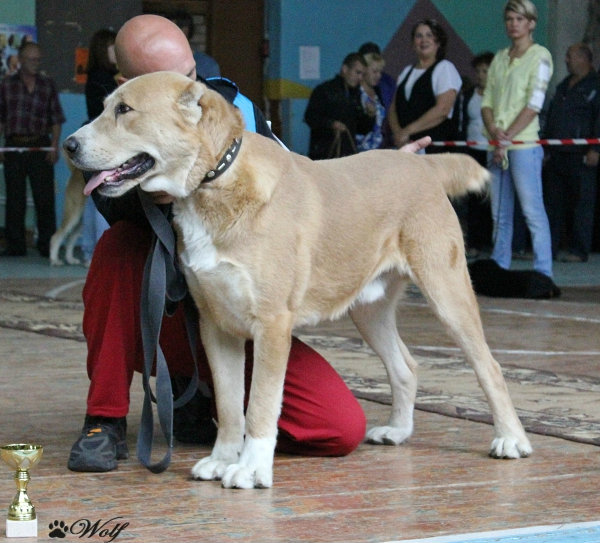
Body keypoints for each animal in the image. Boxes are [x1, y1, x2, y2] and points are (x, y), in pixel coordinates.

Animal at [63, 71, 532, 488]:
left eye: (124, 110)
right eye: (104, 107)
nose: (69, 145)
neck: (214, 182)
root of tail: (417, 165)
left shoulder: (271, 326)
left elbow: (259, 406)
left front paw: (251, 469)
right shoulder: (217, 326)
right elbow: (230, 407)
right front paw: (222, 458)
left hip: (447, 294)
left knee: (489, 366)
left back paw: (510, 438)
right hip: (369, 309)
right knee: (406, 366)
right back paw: (398, 430)